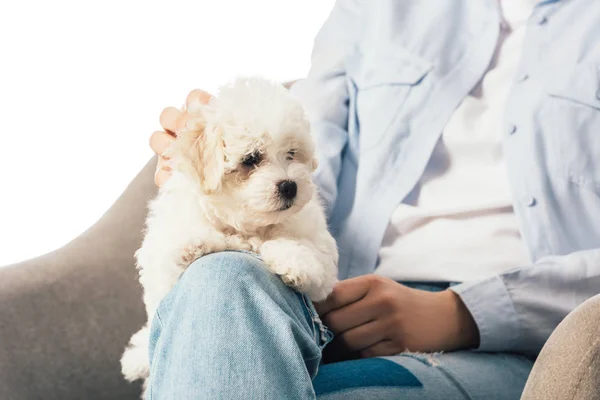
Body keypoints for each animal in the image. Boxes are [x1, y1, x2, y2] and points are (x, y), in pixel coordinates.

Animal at [119, 76, 340, 390]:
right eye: (251, 159)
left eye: (291, 154)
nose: (290, 186)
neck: (246, 224)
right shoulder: (160, 251)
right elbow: (170, 257)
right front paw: (192, 243)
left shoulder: (320, 250)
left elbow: (312, 260)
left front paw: (293, 262)